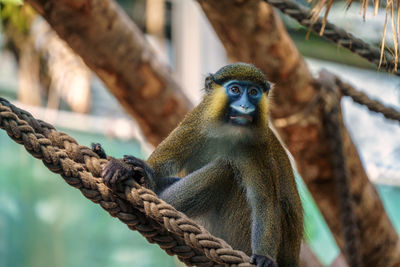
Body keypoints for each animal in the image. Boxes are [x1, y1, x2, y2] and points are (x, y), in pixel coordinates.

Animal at [97, 63, 304, 267]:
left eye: (253, 92)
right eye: (235, 90)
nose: (245, 106)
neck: (226, 131)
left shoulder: (257, 145)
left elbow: (264, 201)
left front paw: (264, 257)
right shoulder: (196, 120)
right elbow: (162, 162)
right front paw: (129, 168)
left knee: (226, 169)